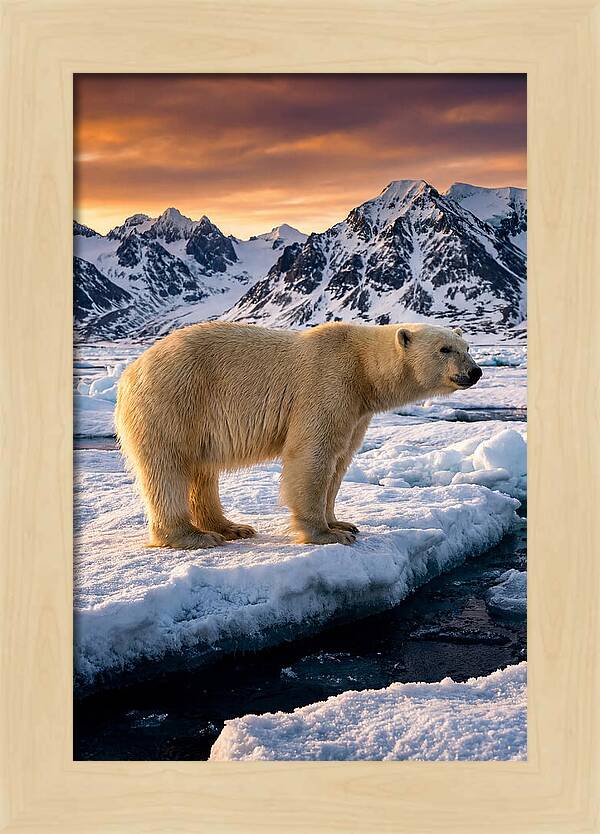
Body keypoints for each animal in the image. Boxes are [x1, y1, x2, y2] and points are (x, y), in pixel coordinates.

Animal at [115, 321, 482, 549]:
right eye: (445, 349)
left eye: (466, 346)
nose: (475, 371)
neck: (362, 368)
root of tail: (130, 372)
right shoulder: (328, 382)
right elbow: (312, 455)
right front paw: (326, 534)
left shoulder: (356, 410)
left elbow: (340, 461)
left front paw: (341, 523)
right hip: (174, 400)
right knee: (168, 466)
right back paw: (192, 536)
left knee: (202, 471)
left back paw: (230, 527)